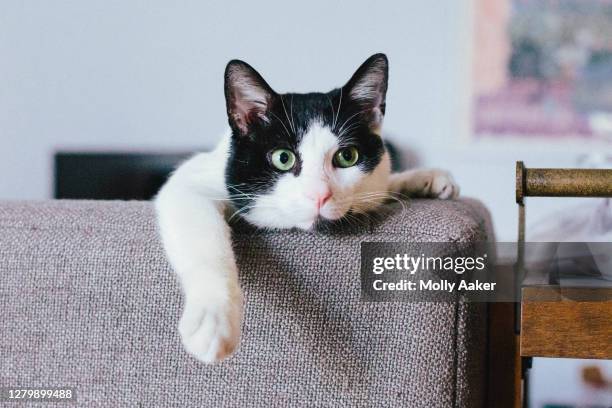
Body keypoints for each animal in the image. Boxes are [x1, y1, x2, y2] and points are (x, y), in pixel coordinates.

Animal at [154, 53, 460, 364]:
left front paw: (425, 178)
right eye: (283, 158)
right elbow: (204, 237)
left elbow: (381, 187)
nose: (320, 195)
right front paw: (214, 321)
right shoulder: (189, 181)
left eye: (347, 156)